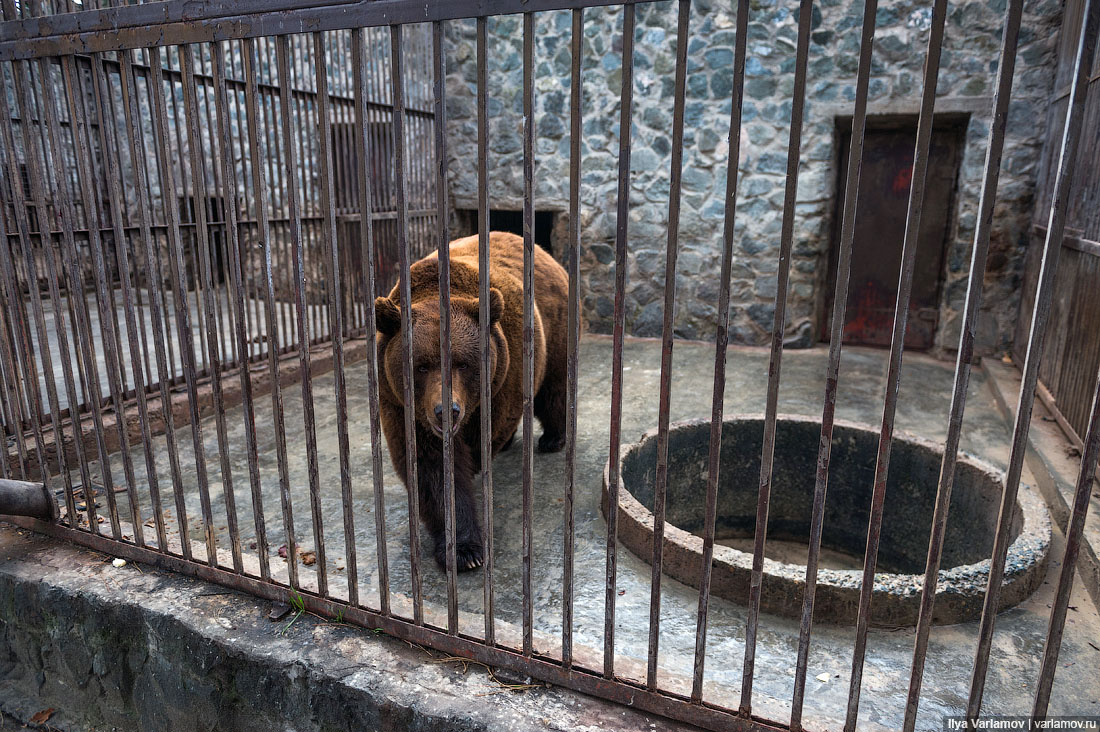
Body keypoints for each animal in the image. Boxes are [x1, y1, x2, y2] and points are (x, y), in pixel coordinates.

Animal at [376, 231, 567, 572]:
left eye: (462, 363)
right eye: (421, 366)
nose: (446, 411)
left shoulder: (504, 373)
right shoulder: (401, 405)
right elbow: (431, 469)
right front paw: (463, 551)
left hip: (554, 329)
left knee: (553, 387)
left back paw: (552, 438)